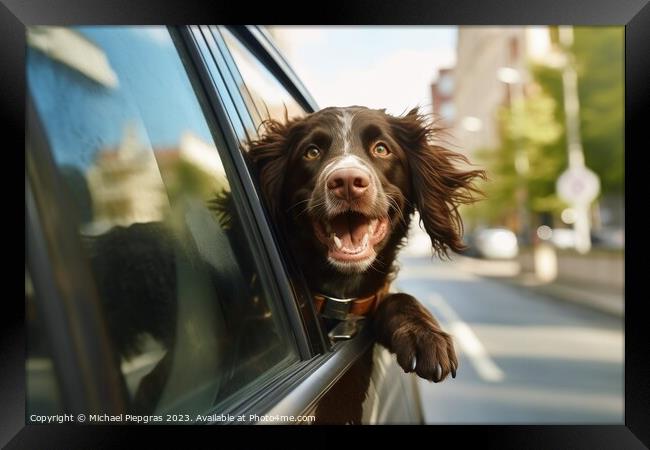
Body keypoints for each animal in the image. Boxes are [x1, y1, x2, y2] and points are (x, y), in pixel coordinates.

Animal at [248, 105, 486, 384]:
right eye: (312, 152)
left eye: (381, 149)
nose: (347, 182)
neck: (341, 298)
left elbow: (398, 298)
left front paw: (424, 335)